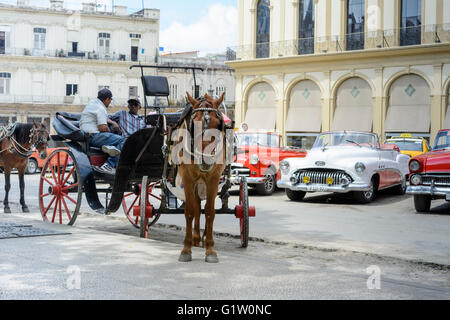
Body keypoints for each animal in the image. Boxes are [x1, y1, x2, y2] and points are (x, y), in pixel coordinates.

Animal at [173, 92, 227, 262]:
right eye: (193, 124)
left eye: (218, 124)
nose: (205, 159)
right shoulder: (187, 178)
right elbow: (190, 211)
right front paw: (186, 249)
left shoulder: (214, 178)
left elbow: (209, 212)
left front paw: (210, 249)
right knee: (196, 206)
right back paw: (195, 238)